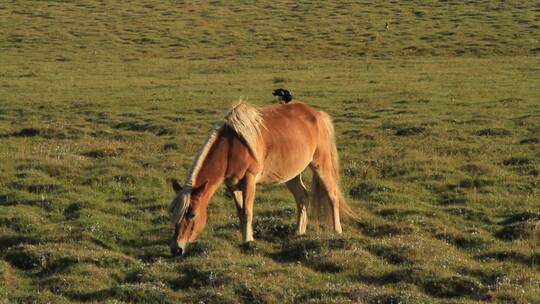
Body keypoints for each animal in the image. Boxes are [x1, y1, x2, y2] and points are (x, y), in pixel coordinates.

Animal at [168, 101, 354, 255]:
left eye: (192, 214)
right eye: (173, 214)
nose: (176, 249)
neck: (231, 146)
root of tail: (318, 115)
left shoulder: (249, 180)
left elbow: (247, 211)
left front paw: (248, 241)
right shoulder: (232, 185)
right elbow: (240, 212)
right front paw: (246, 237)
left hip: (321, 166)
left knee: (332, 195)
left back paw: (337, 231)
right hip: (292, 175)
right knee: (302, 198)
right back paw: (299, 232)